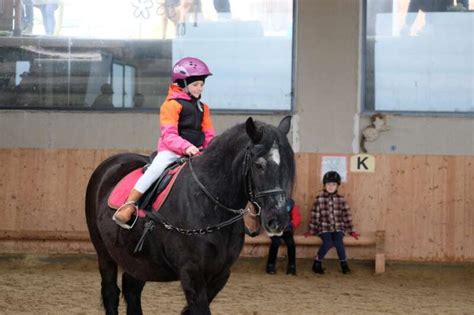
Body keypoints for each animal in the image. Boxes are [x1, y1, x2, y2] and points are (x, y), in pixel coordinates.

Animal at [84, 116, 294, 315]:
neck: (209, 202)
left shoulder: (221, 274)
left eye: (288, 165)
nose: (278, 220)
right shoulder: (191, 273)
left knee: (132, 290)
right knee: (111, 292)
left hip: (137, 260)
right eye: (259, 165)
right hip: (104, 252)